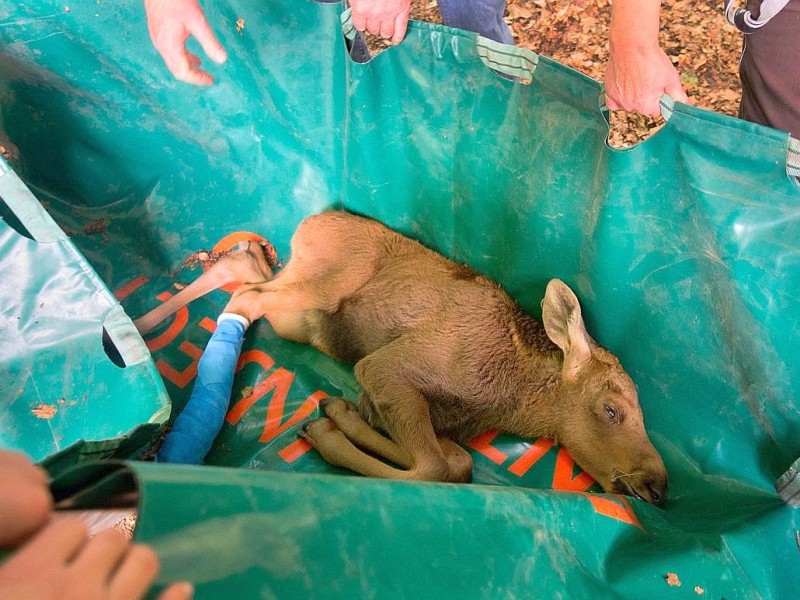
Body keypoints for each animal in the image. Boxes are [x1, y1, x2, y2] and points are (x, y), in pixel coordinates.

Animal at [136, 211, 668, 506]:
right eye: (611, 409)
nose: (659, 485)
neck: (505, 401)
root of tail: (310, 221)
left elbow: (456, 462)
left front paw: (341, 413)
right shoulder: (387, 366)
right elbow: (434, 467)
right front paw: (328, 433)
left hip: (301, 315)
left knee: (249, 273)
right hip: (321, 286)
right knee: (247, 296)